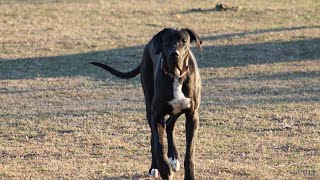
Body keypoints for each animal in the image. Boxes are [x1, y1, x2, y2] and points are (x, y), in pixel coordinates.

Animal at [90, 27, 201, 179]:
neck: (175, 76)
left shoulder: (192, 115)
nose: (175, 54)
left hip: (177, 109)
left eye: (184, 41)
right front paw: (164, 169)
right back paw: (155, 167)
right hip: (149, 106)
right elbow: (159, 145)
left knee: (169, 124)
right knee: (155, 137)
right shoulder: (157, 115)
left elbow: (190, 152)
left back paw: (173, 158)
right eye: (166, 41)